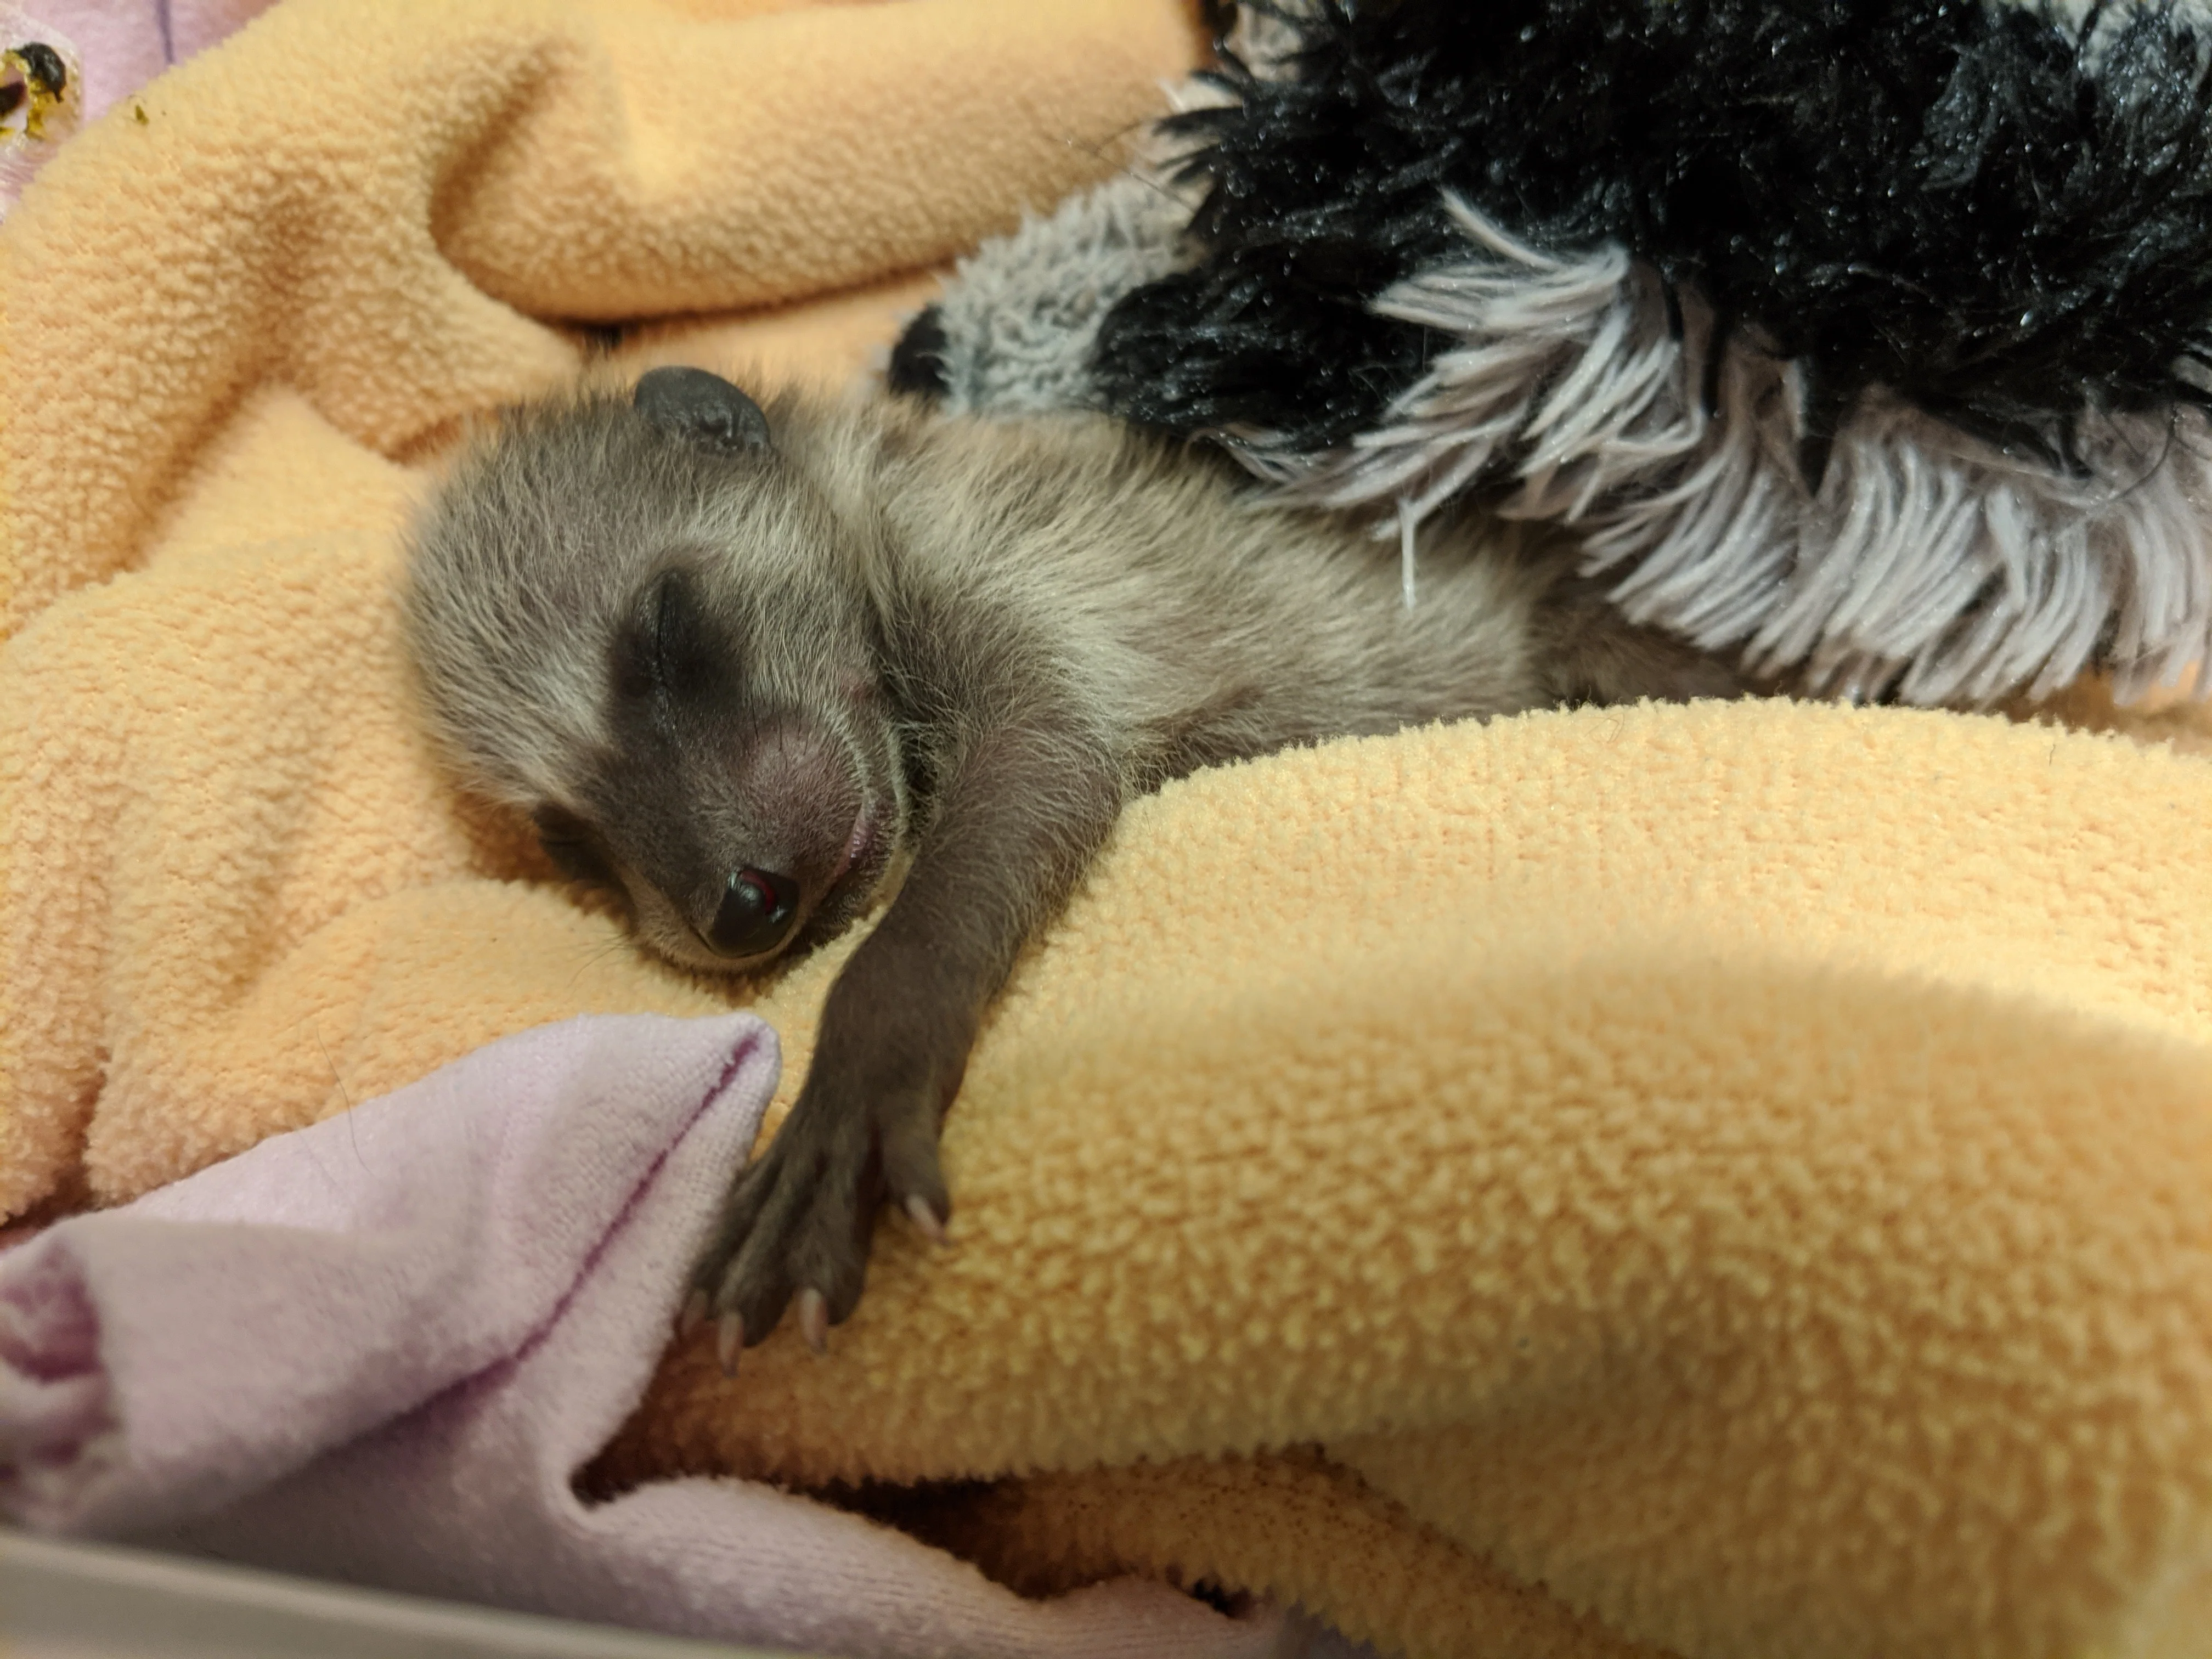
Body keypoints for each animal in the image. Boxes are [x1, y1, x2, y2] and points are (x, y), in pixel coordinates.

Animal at [403, 366, 1738, 1365]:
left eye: (664, 636)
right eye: (568, 841)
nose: (736, 908)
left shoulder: (1006, 571)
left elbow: (1024, 791)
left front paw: (862, 1069)